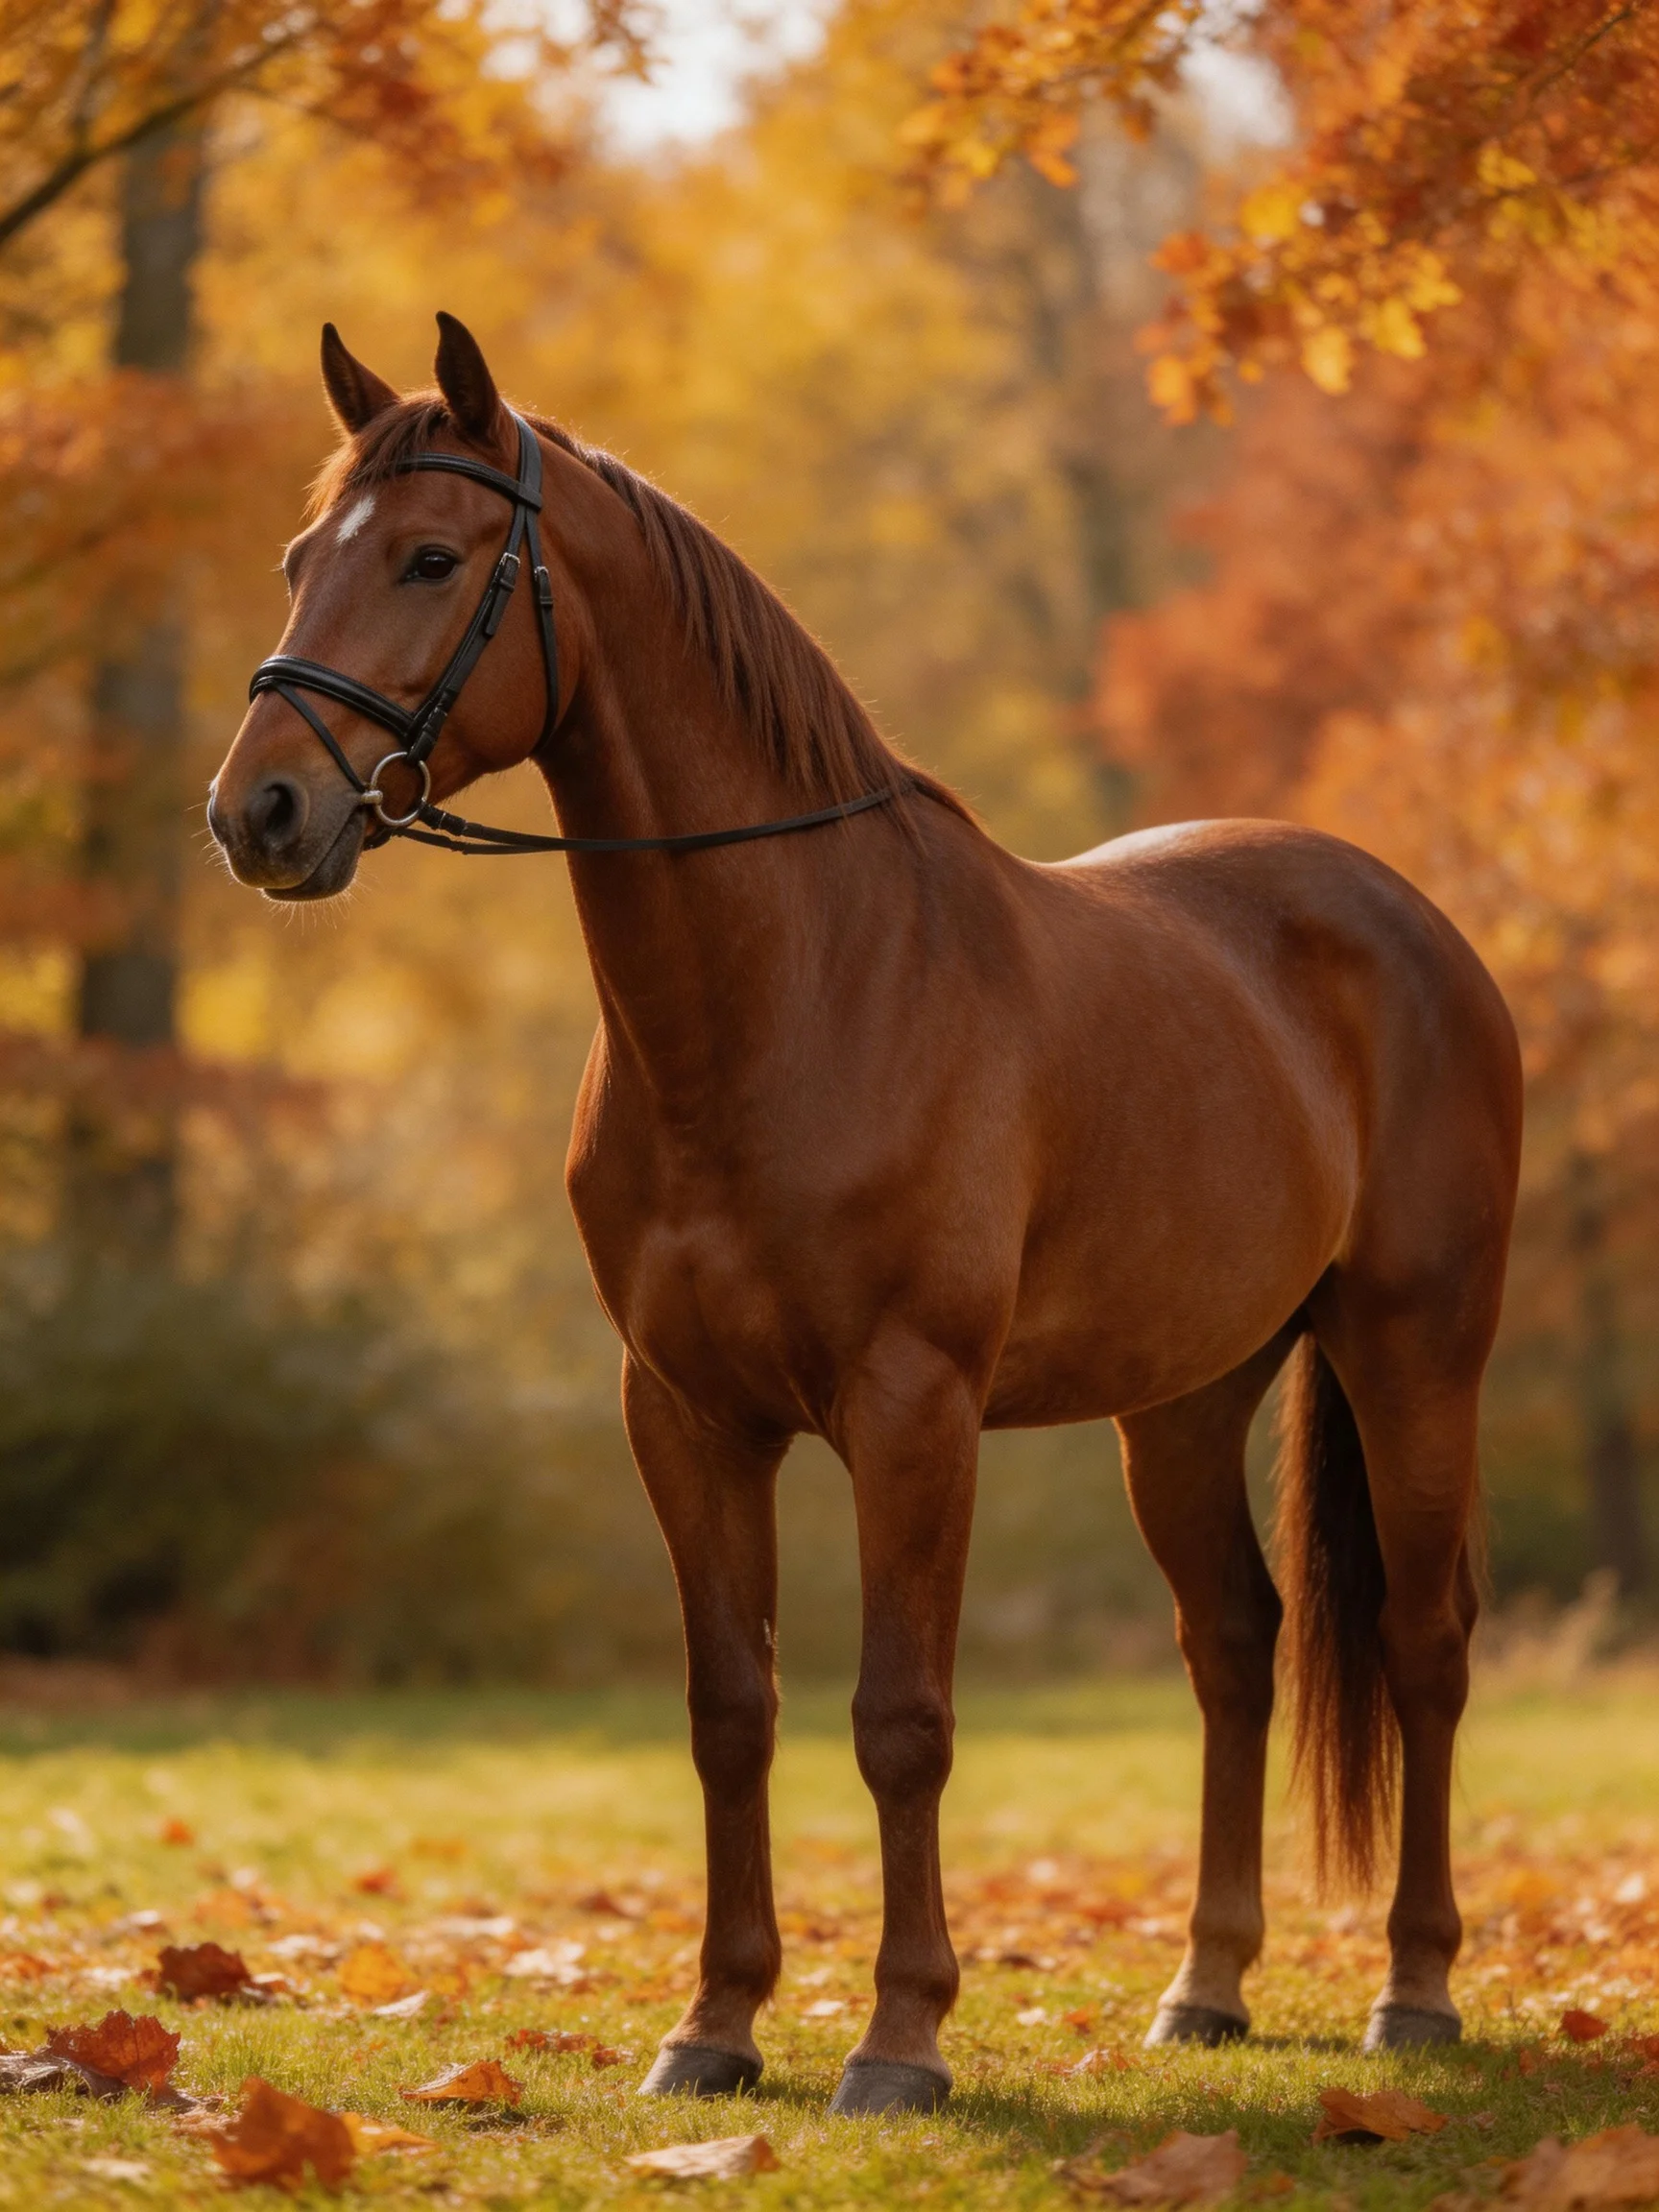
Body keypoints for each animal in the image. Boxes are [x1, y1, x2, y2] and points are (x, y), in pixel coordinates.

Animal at [208, 314, 1523, 2117]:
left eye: (429, 556)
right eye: (295, 561)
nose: (256, 813)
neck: (793, 991)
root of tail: (1411, 926)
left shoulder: (913, 1408)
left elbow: (901, 1717)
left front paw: (899, 2039)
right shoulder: (686, 1414)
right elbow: (730, 1709)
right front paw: (713, 2025)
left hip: (1414, 1354)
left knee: (1420, 1643)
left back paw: (1415, 1989)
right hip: (1184, 1403)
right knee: (1234, 1642)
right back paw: (1204, 1986)